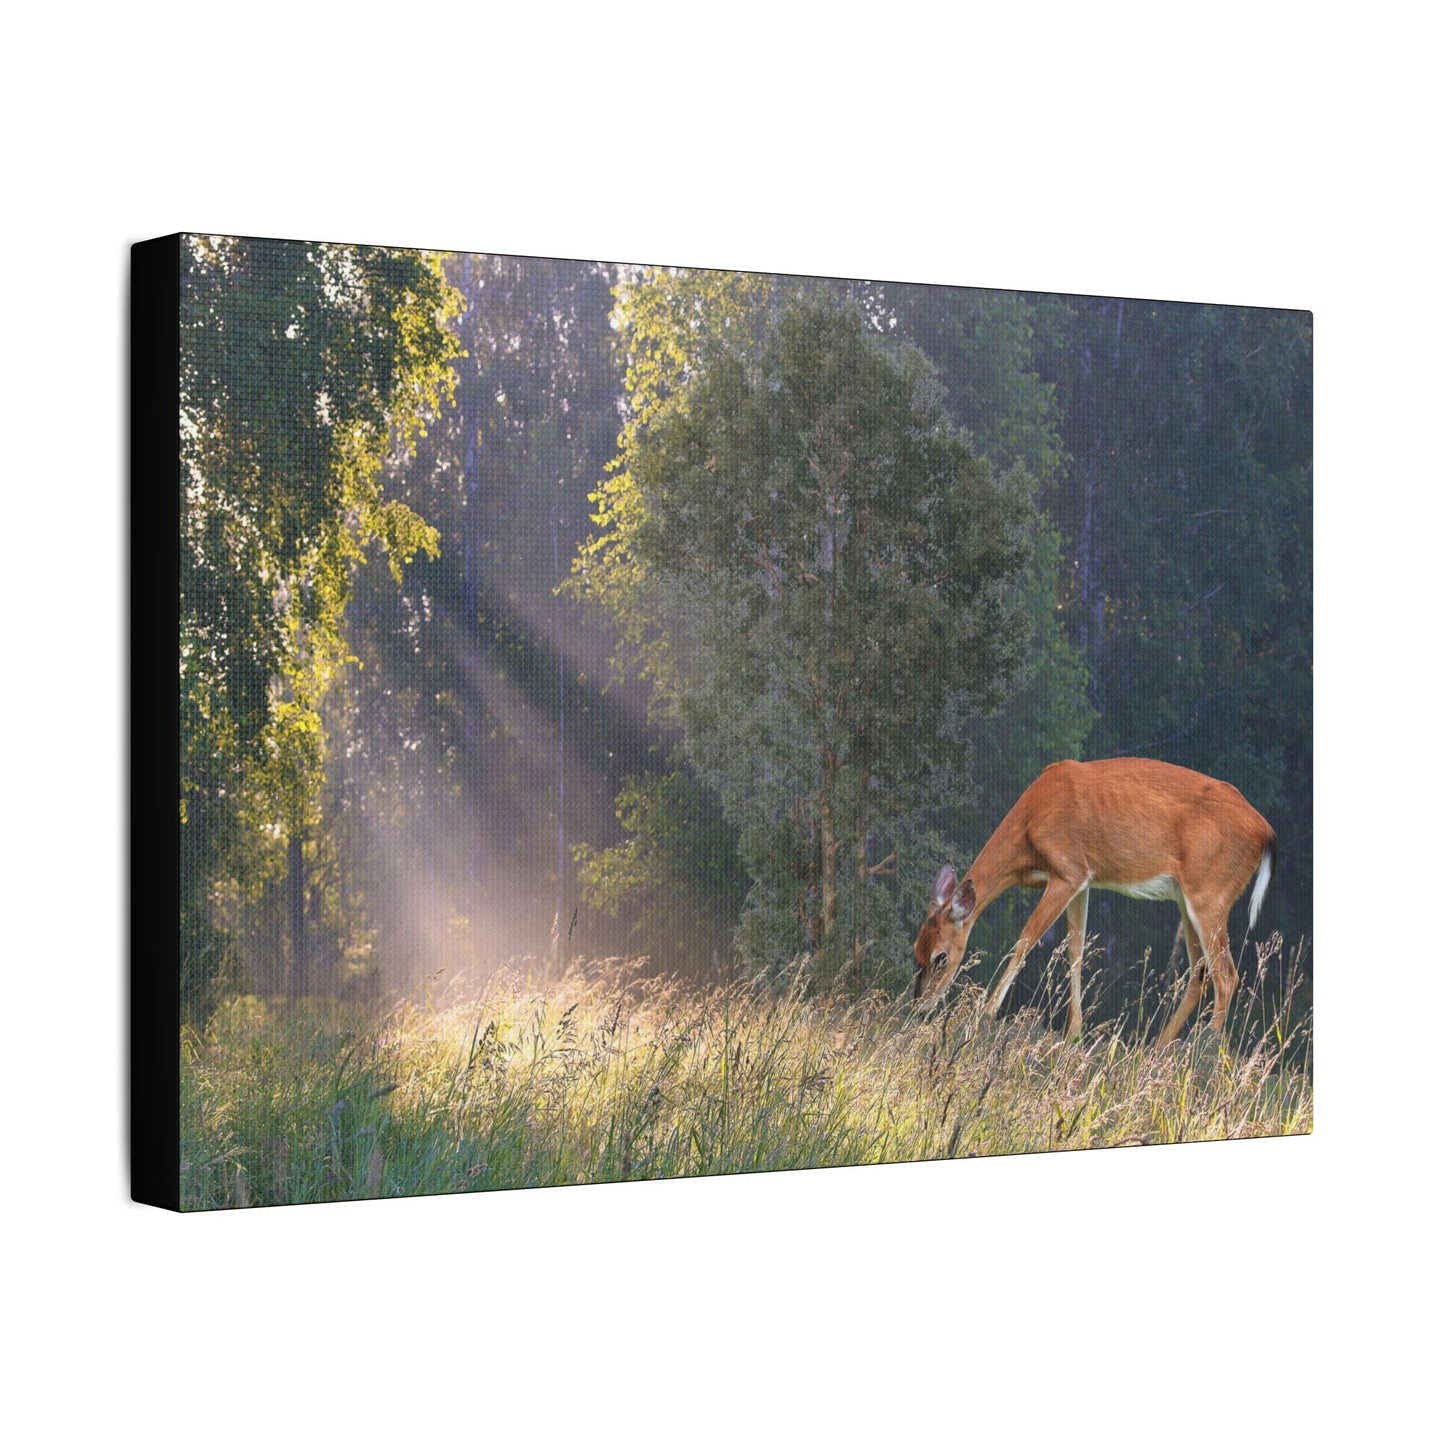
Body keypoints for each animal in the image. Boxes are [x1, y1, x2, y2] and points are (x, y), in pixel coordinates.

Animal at [912, 758, 1277, 1045]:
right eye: (916, 950)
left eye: (941, 956)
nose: (920, 1007)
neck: (1030, 824)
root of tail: (1266, 833)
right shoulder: (1083, 881)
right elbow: (1075, 951)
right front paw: (1074, 1032)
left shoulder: (1068, 870)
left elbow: (1026, 941)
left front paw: (986, 1014)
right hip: (1188, 899)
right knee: (1200, 972)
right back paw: (1158, 1051)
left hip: (1210, 894)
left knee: (1226, 974)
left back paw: (1203, 1051)